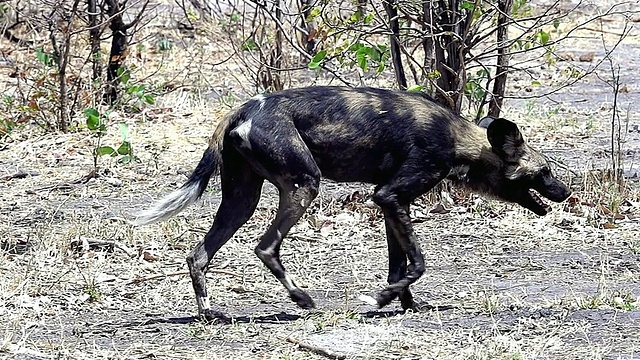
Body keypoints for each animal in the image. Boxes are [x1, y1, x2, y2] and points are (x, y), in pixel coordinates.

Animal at [134, 86, 568, 320]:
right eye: (545, 171)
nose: (566, 192)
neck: (460, 141)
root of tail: (242, 109)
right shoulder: (390, 196)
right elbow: (418, 264)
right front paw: (381, 298)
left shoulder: (391, 203)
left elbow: (399, 265)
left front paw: (405, 303)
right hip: (303, 186)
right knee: (266, 246)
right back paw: (302, 298)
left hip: (242, 201)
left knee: (199, 254)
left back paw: (209, 314)